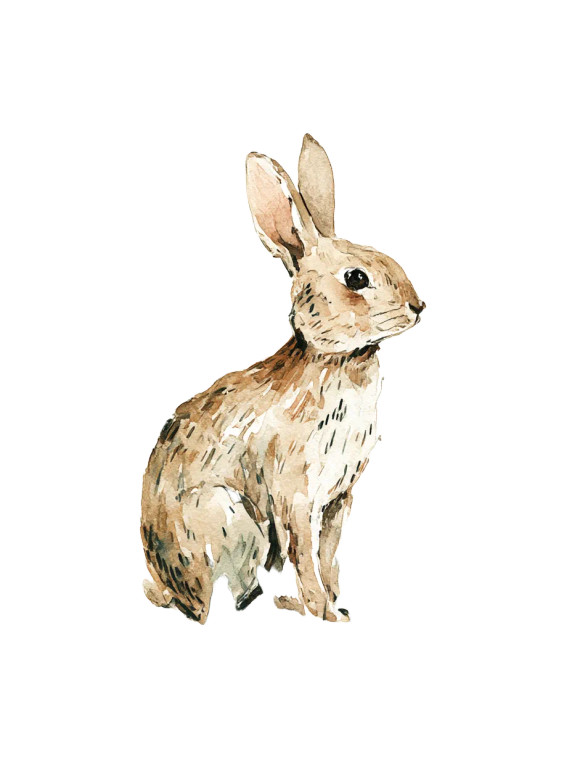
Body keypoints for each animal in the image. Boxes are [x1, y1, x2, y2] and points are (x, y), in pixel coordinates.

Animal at [141, 134, 425, 623]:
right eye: (356, 277)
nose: (418, 306)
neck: (336, 360)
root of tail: (169, 584)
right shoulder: (296, 495)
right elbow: (306, 556)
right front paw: (323, 613)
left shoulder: (338, 499)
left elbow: (328, 556)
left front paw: (338, 609)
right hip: (232, 522)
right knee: (219, 603)